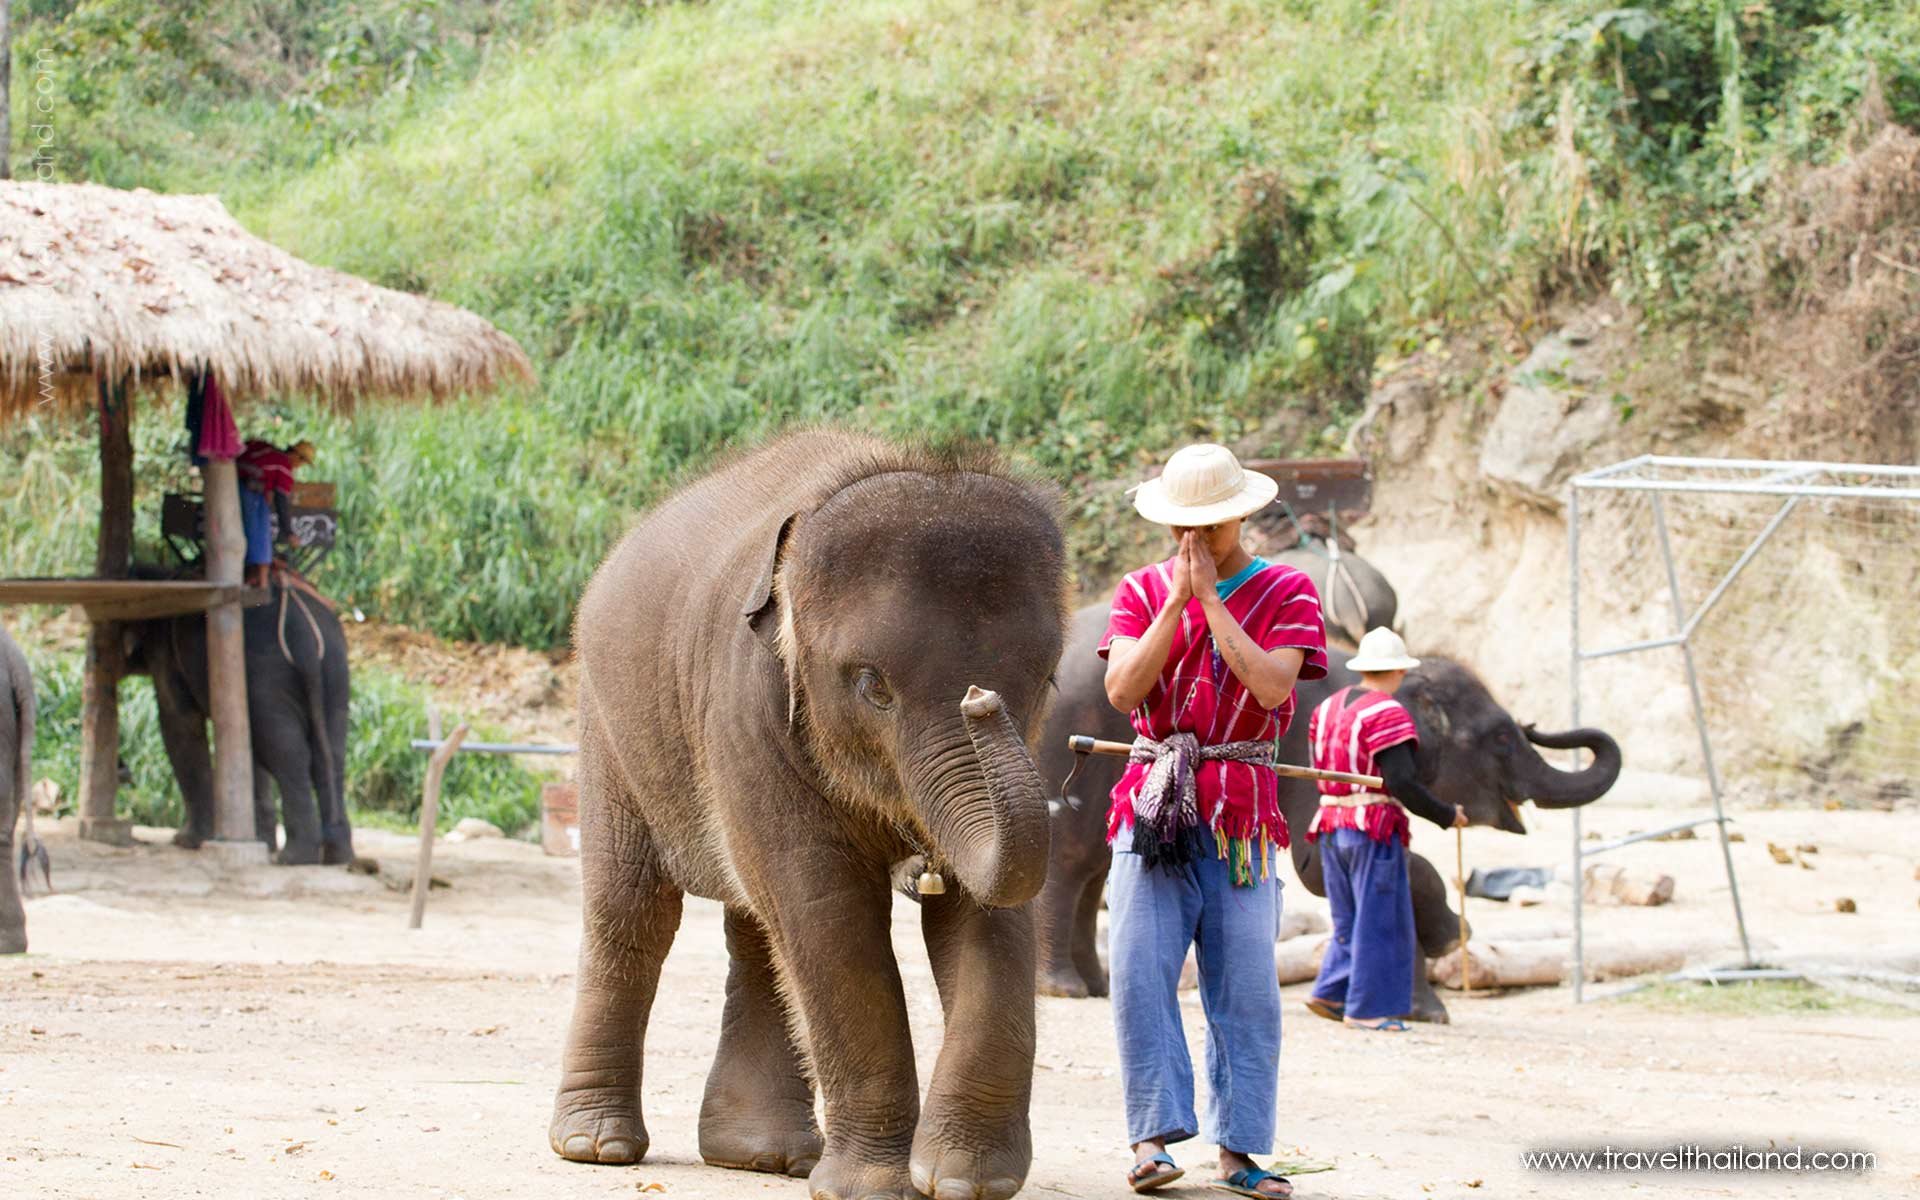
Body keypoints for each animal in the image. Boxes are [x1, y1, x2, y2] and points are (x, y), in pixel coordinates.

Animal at [122, 580, 352, 865]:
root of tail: (306, 638)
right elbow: (248, 744)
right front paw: (260, 840)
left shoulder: (166, 652)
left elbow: (178, 721)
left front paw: (187, 841)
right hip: (335, 670)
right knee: (329, 753)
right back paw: (337, 855)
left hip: (267, 675)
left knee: (288, 752)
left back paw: (293, 857)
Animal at [549, 431, 1066, 1200]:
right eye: (873, 686)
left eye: (1046, 678)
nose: (981, 700)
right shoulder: (745, 702)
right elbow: (826, 906)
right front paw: (875, 1187)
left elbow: (990, 916)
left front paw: (961, 1181)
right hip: (609, 732)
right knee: (634, 914)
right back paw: (597, 1147)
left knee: (757, 930)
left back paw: (763, 1155)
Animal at [1035, 600, 1620, 1022]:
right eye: (1500, 738)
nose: (1534, 723)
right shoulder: (1306, 758)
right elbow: (1318, 865)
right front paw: (1451, 949)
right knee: (1067, 861)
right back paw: (1063, 989)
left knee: (1094, 867)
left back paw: (1099, 987)